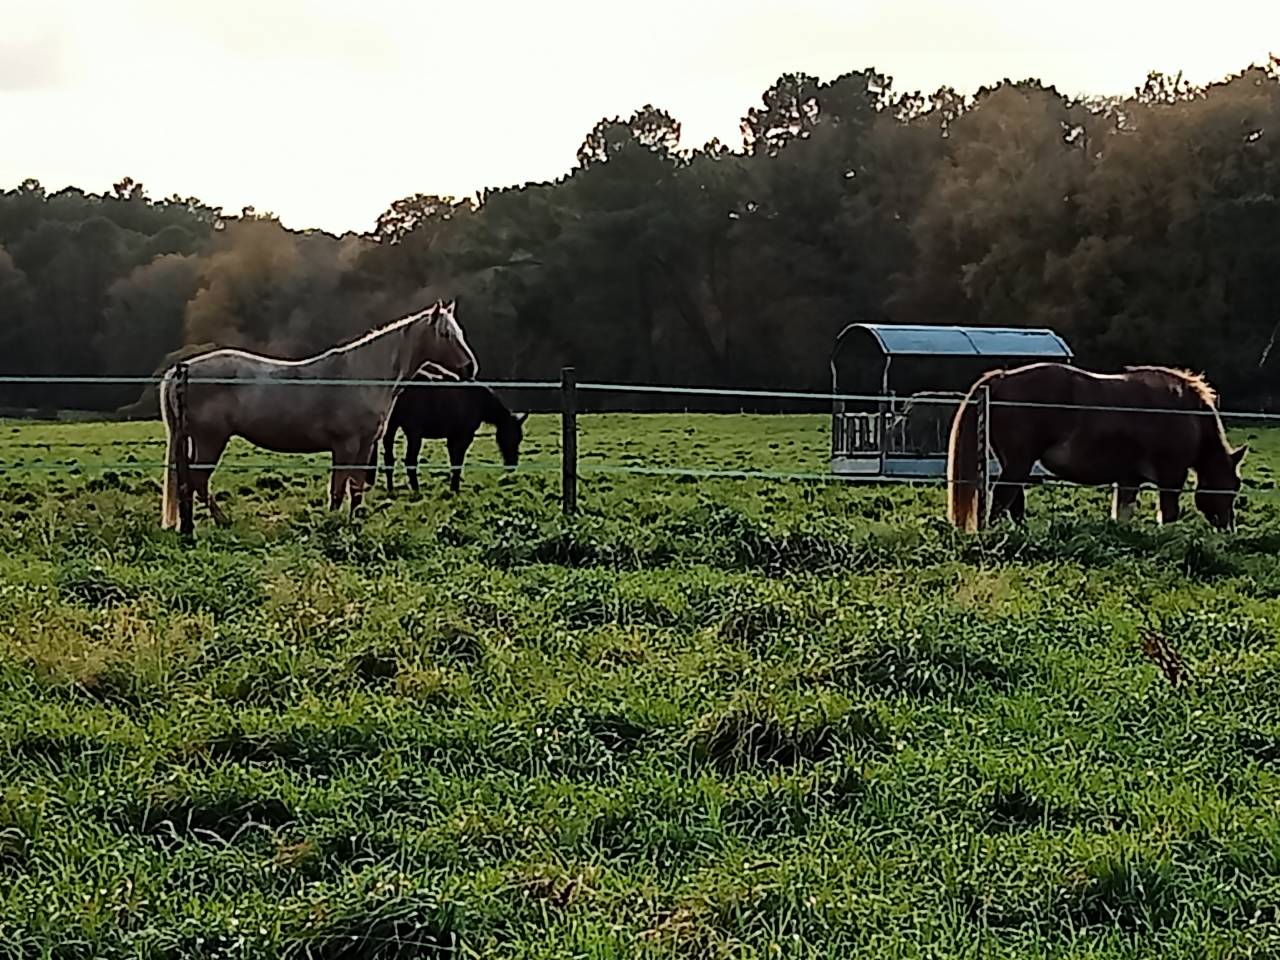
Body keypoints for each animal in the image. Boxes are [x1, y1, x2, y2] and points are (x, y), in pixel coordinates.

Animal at [159, 300, 478, 529]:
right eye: (445, 334)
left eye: (461, 332)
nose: (470, 368)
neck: (361, 376)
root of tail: (182, 370)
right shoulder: (345, 445)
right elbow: (338, 489)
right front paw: (332, 523)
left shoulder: (364, 446)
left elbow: (356, 488)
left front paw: (355, 523)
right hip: (210, 441)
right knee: (199, 481)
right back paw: (222, 521)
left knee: (190, 481)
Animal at [379, 374, 528, 494]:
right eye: (510, 437)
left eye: (520, 439)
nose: (512, 465)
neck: (480, 402)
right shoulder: (464, 436)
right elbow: (458, 462)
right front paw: (455, 489)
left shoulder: (452, 437)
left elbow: (454, 462)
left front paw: (452, 487)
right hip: (413, 433)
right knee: (410, 461)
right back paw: (416, 490)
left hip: (391, 428)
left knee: (389, 459)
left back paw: (391, 489)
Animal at [946, 362, 1246, 532]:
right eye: (1230, 487)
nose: (1227, 528)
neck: (1186, 414)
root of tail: (1000, 378)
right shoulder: (1171, 476)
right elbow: (1169, 514)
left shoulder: (1129, 479)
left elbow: (1122, 512)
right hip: (1019, 462)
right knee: (1003, 498)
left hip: (1016, 463)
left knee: (1013, 500)